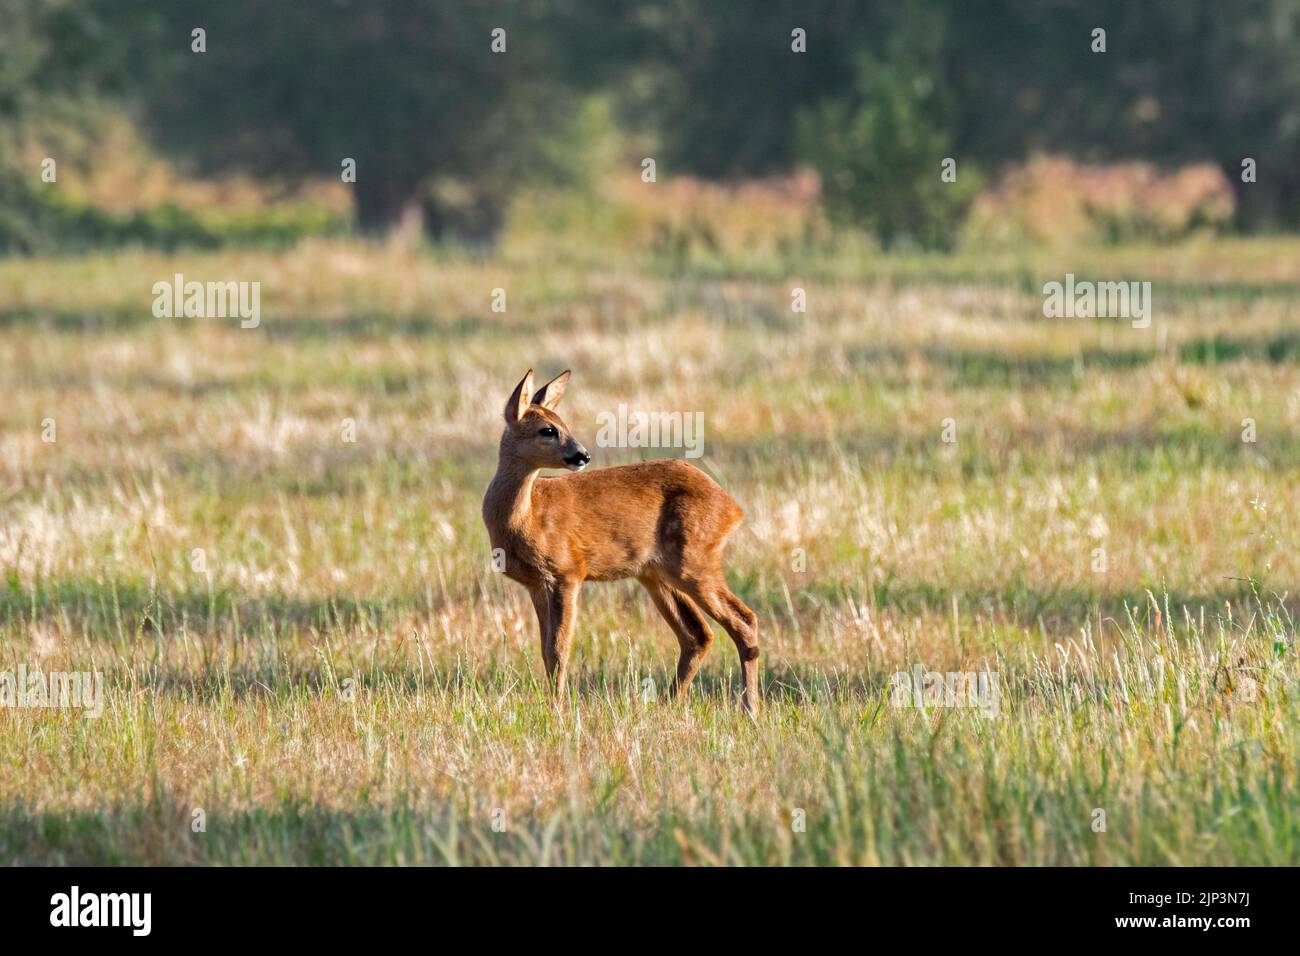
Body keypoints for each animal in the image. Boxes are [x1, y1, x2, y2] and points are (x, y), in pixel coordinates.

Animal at [481, 369, 760, 715]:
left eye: (563, 424)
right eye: (548, 429)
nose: (582, 455)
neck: (527, 516)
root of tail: (733, 508)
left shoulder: (568, 570)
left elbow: (559, 649)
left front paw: (558, 709)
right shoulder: (536, 583)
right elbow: (546, 651)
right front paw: (552, 705)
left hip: (695, 560)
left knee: (743, 619)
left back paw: (750, 708)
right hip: (655, 573)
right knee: (697, 634)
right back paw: (668, 704)